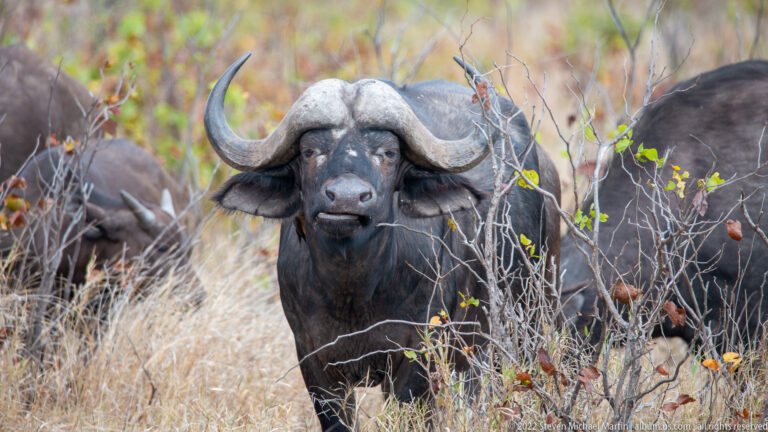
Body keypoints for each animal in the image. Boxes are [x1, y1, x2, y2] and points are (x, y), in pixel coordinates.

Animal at [206, 53, 561, 431]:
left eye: (388, 153)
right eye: (309, 151)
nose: (346, 197)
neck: (352, 291)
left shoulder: (417, 355)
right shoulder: (313, 359)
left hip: (524, 328)